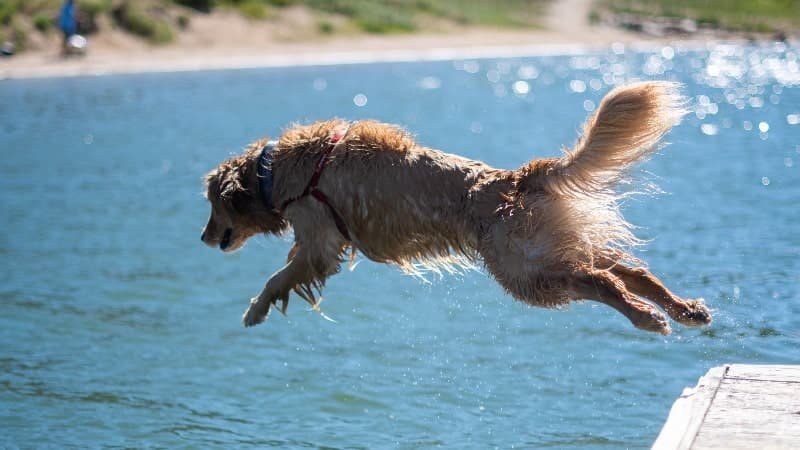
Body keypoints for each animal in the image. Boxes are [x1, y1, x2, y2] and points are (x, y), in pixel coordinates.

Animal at [202, 81, 712, 334]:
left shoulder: (318, 239)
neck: (274, 172)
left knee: (601, 281)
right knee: (629, 270)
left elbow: (279, 277)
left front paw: (255, 310)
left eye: (211, 206)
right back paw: (685, 309)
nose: (204, 237)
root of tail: (519, 177)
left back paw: (649, 318)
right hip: (552, 246)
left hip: (525, 270)